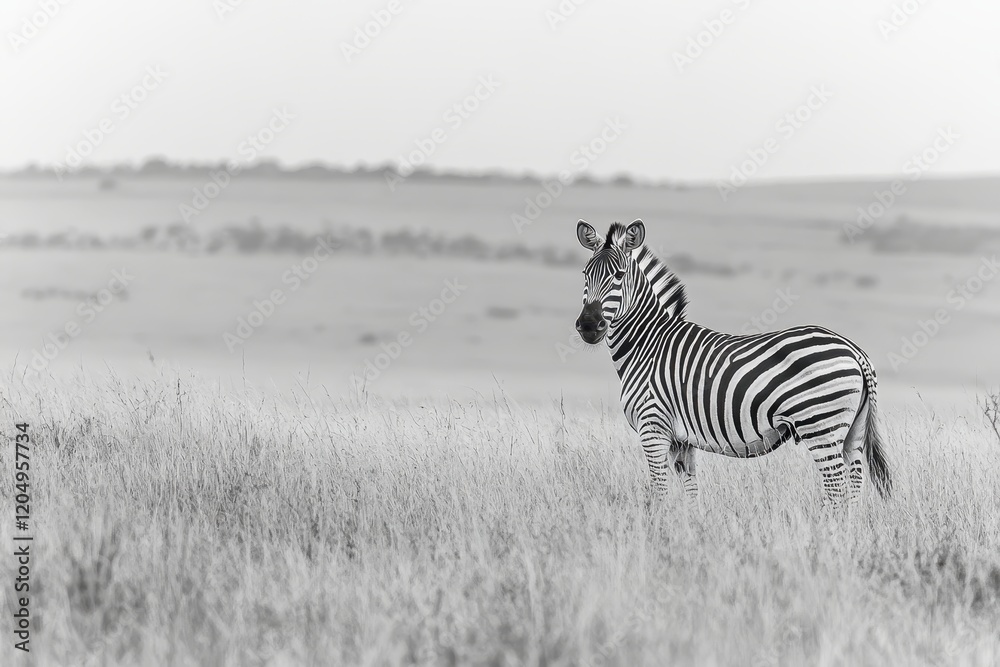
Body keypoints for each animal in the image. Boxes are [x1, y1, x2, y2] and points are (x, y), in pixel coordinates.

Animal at [574, 219, 891, 507]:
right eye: (585, 274)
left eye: (619, 275)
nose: (589, 325)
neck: (647, 344)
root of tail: (854, 350)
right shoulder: (681, 440)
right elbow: (691, 492)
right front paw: (690, 528)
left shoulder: (653, 428)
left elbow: (659, 493)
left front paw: (659, 528)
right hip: (852, 430)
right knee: (854, 484)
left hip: (819, 424)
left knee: (836, 487)